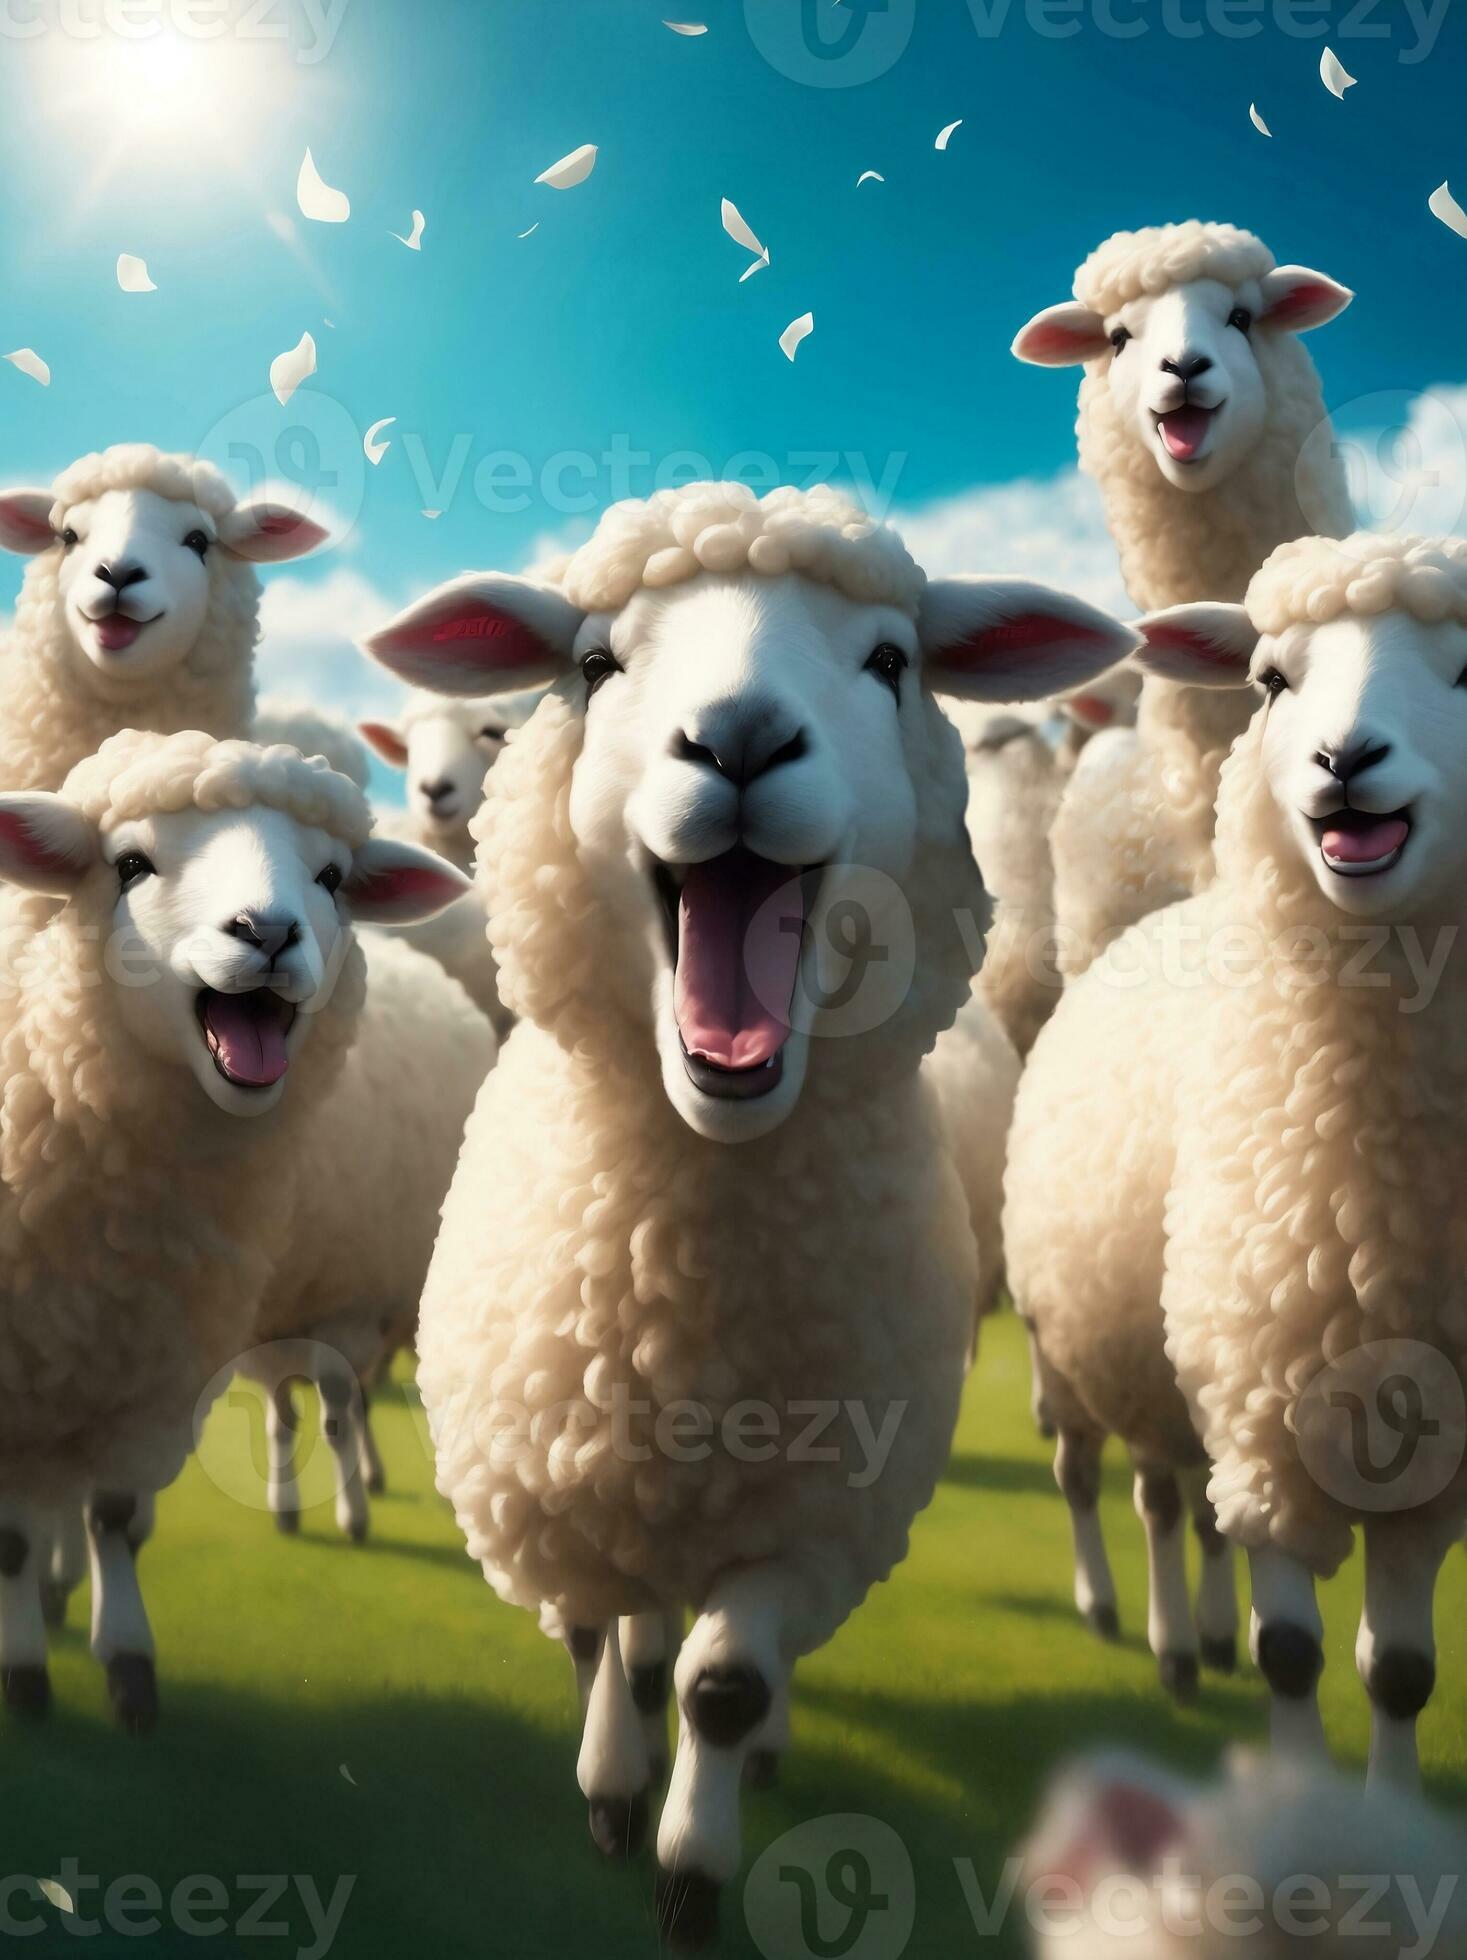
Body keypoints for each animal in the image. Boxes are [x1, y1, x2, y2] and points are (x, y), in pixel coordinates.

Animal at [0, 730, 466, 1729]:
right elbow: (15, 1536)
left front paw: (127, 1663)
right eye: (129, 865)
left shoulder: (150, 1354)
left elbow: (114, 1514)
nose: (267, 931)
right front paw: (24, 1673)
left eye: (331, 877)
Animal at [1010, 533, 1467, 1786]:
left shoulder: (1426, 1457)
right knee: (1133, 1493)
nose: (1343, 761)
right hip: (1084, 1345)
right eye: (1269, 678)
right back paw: (1151, 1630)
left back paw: (1199, 1632)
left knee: (1191, 1507)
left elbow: (1400, 1672)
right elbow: (1293, 1653)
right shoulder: (1266, 1412)